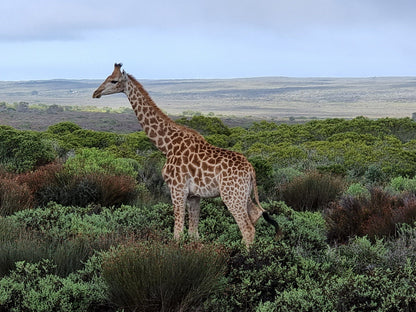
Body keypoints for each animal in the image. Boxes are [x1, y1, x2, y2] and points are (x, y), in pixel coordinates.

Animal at [92, 64, 278, 247]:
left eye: (114, 80)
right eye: (107, 77)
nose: (95, 93)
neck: (167, 145)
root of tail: (251, 170)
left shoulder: (177, 188)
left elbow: (178, 233)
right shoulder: (194, 195)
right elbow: (193, 233)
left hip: (231, 195)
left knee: (247, 229)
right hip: (243, 194)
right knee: (255, 215)